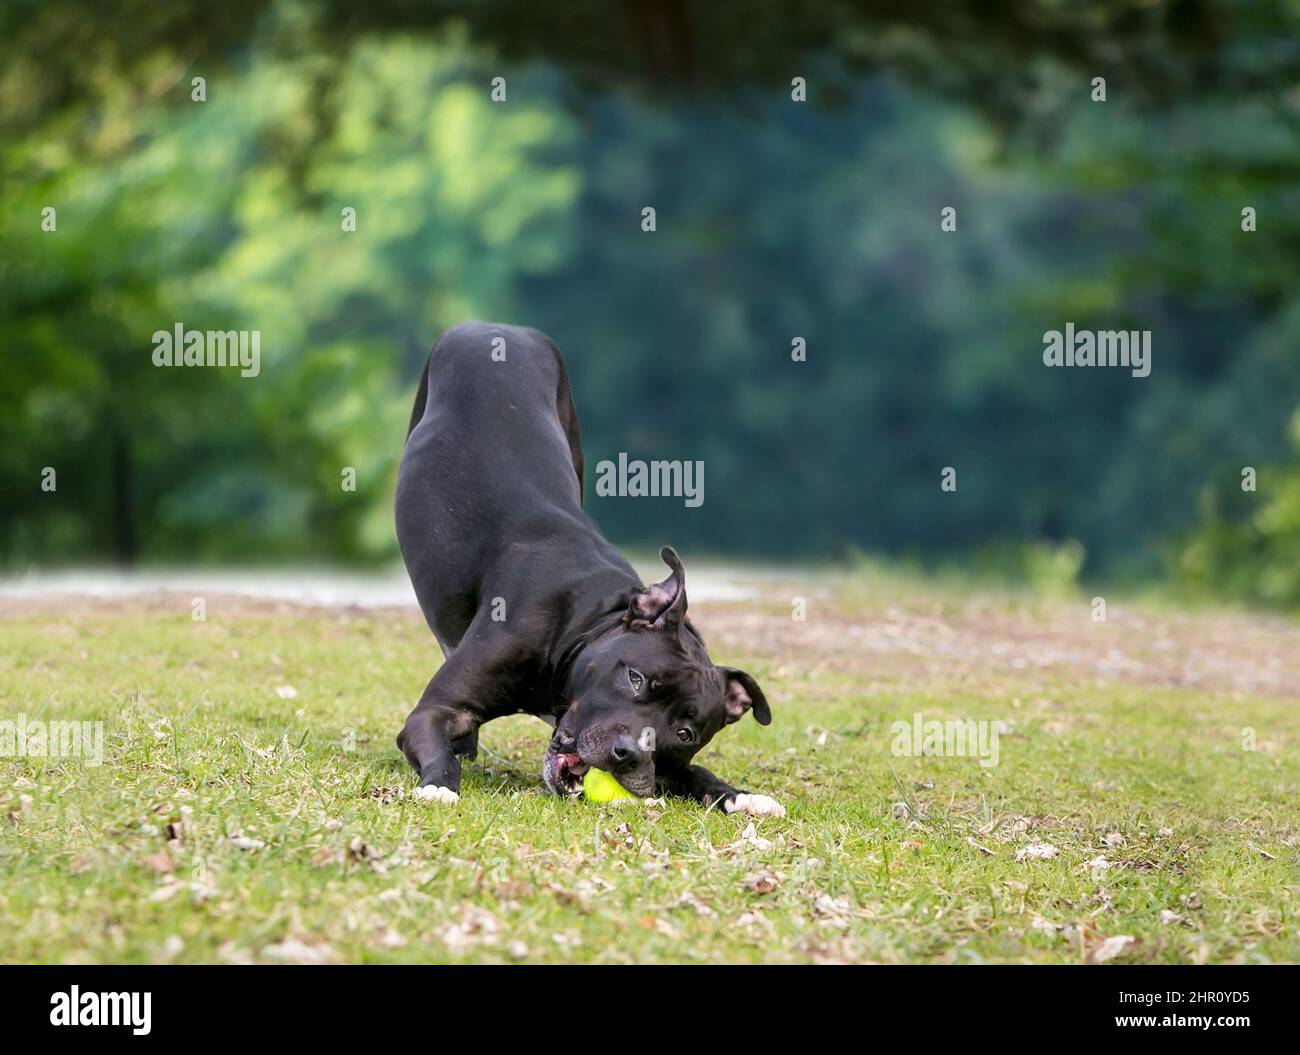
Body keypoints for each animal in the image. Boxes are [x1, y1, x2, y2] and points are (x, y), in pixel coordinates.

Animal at [395, 320, 780, 815]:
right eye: (635, 678)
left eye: (685, 732)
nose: (628, 754)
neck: (582, 620)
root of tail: (499, 327)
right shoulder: (435, 712)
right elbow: (439, 747)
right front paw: (439, 784)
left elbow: (693, 772)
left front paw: (739, 795)